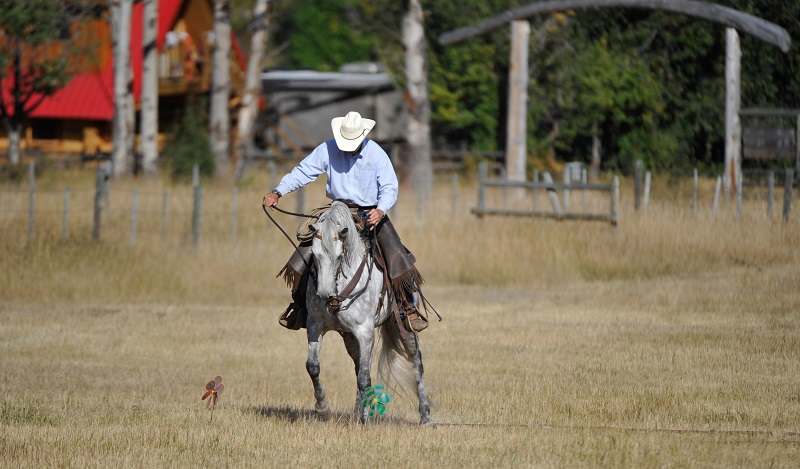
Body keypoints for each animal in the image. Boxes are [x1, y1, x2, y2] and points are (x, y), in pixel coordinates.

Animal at [304, 201, 433, 425]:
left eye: (339, 256)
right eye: (314, 255)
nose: (325, 293)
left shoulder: (365, 332)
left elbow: (364, 377)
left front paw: (364, 420)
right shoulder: (315, 326)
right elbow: (313, 366)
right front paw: (322, 408)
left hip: (404, 327)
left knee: (416, 362)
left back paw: (425, 416)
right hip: (349, 337)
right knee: (358, 367)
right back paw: (358, 409)